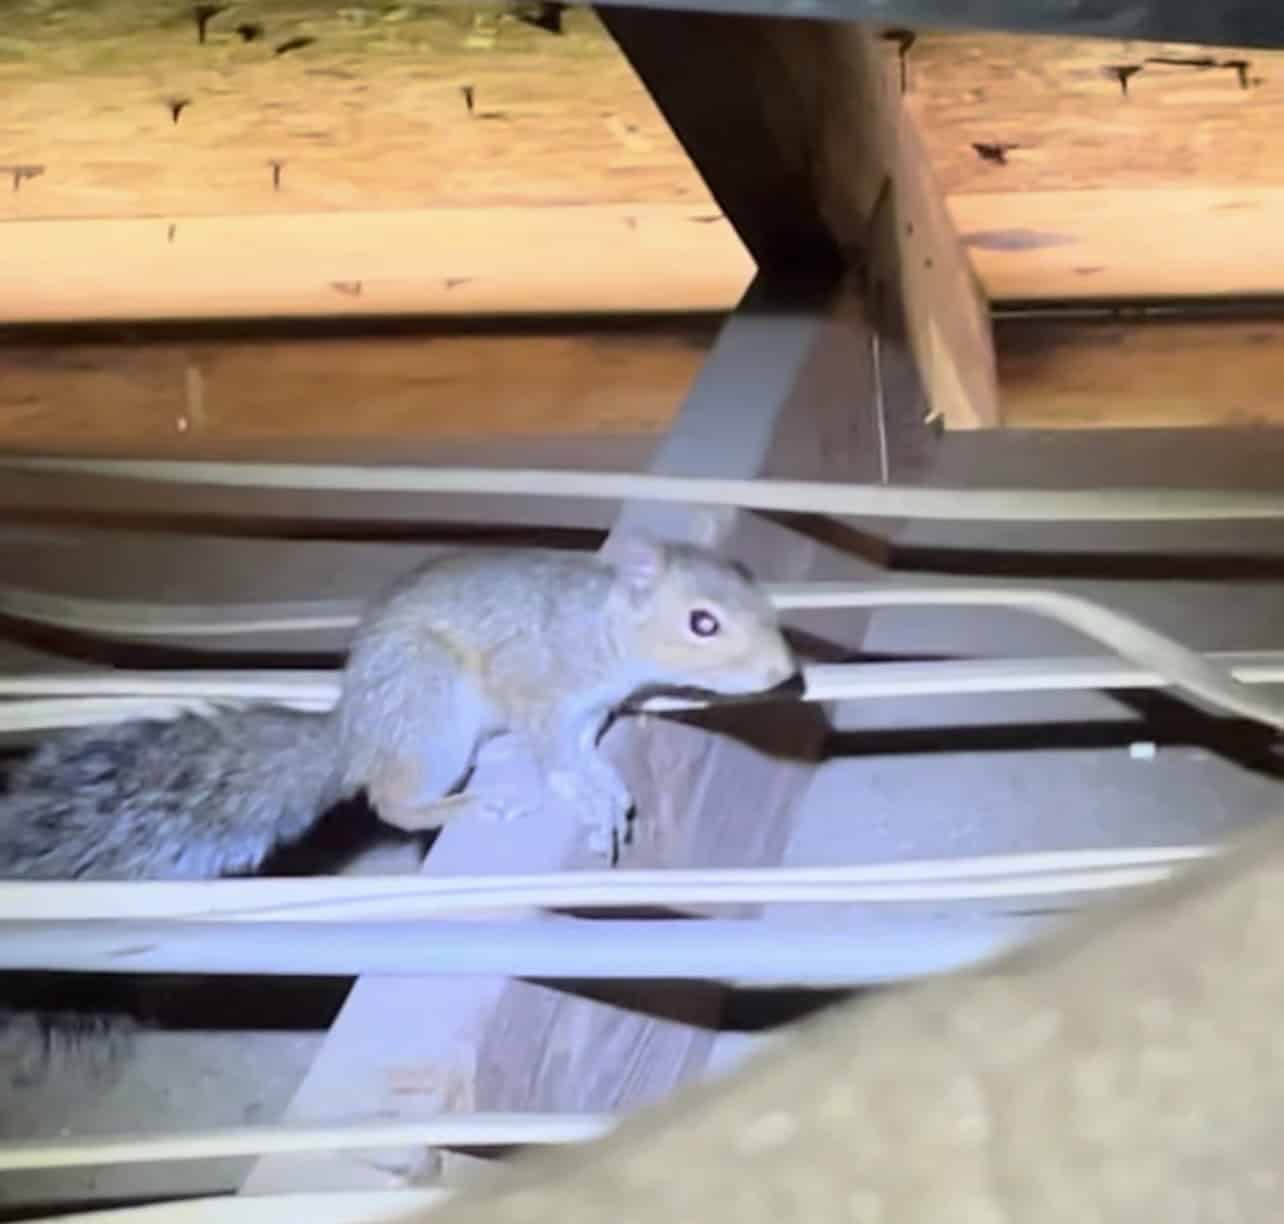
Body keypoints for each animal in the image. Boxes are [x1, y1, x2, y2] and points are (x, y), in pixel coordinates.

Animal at [0, 532, 798, 1090]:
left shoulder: (587, 710)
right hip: (434, 714)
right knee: (390, 802)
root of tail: (353, 733)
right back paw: (473, 800)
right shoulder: (537, 689)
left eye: (763, 601)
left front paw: (604, 784)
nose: (785, 674)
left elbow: (582, 748)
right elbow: (554, 753)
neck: (601, 626)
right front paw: (584, 794)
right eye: (702, 623)